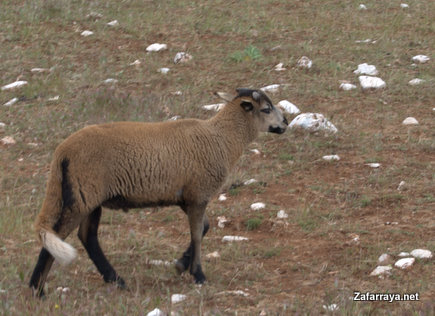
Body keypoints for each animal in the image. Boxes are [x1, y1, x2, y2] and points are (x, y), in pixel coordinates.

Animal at [29, 88, 288, 296]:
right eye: (266, 109)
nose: (286, 122)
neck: (222, 138)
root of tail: (62, 153)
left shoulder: (187, 197)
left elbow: (204, 227)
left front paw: (181, 265)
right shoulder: (199, 194)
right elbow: (197, 233)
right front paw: (198, 274)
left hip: (89, 198)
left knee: (87, 236)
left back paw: (115, 279)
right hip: (82, 195)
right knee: (59, 234)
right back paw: (37, 289)